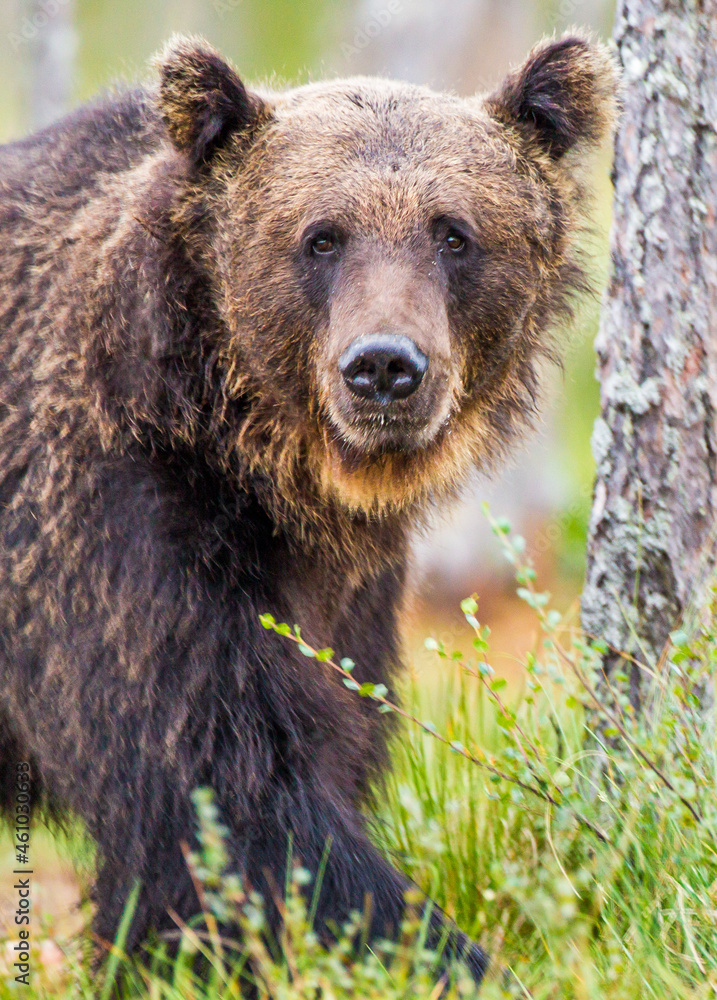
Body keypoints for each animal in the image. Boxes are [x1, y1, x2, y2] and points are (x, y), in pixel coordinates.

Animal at [0, 32, 617, 984]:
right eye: (321, 237)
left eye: (453, 232)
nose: (384, 366)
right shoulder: (110, 525)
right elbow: (221, 789)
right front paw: (457, 959)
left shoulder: (345, 595)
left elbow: (328, 739)